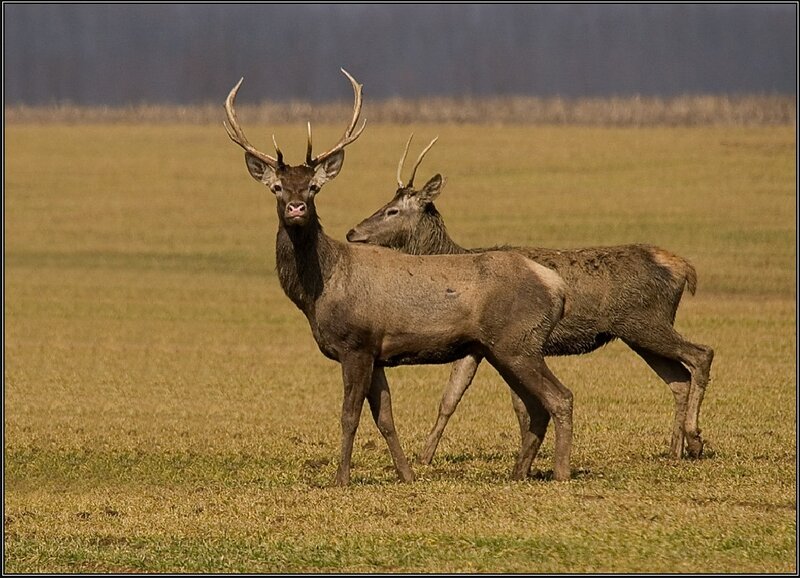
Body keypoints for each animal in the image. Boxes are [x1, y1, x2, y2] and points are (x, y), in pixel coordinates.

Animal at [224, 70, 575, 485]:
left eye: (313, 187)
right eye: (277, 187)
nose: (296, 207)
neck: (319, 292)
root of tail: (556, 285)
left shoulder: (356, 343)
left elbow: (349, 416)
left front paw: (341, 478)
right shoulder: (377, 352)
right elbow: (385, 418)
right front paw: (406, 474)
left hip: (517, 342)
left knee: (561, 397)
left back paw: (561, 472)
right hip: (503, 348)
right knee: (536, 407)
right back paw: (518, 473)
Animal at [346, 135, 715, 473]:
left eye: (393, 210)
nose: (353, 232)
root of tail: (684, 268)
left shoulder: (511, 340)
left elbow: (517, 406)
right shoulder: (477, 345)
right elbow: (451, 397)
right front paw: (425, 458)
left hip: (645, 321)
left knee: (701, 354)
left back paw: (695, 439)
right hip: (638, 332)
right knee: (678, 379)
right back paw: (675, 450)